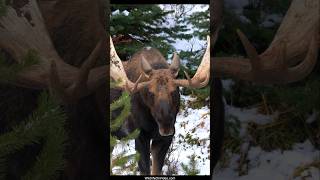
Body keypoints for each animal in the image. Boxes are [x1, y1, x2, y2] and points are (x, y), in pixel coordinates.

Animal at [110, 35, 210, 175]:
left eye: (174, 91)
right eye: (150, 93)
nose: (166, 125)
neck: (153, 125)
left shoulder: (165, 139)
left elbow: (156, 169)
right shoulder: (140, 135)